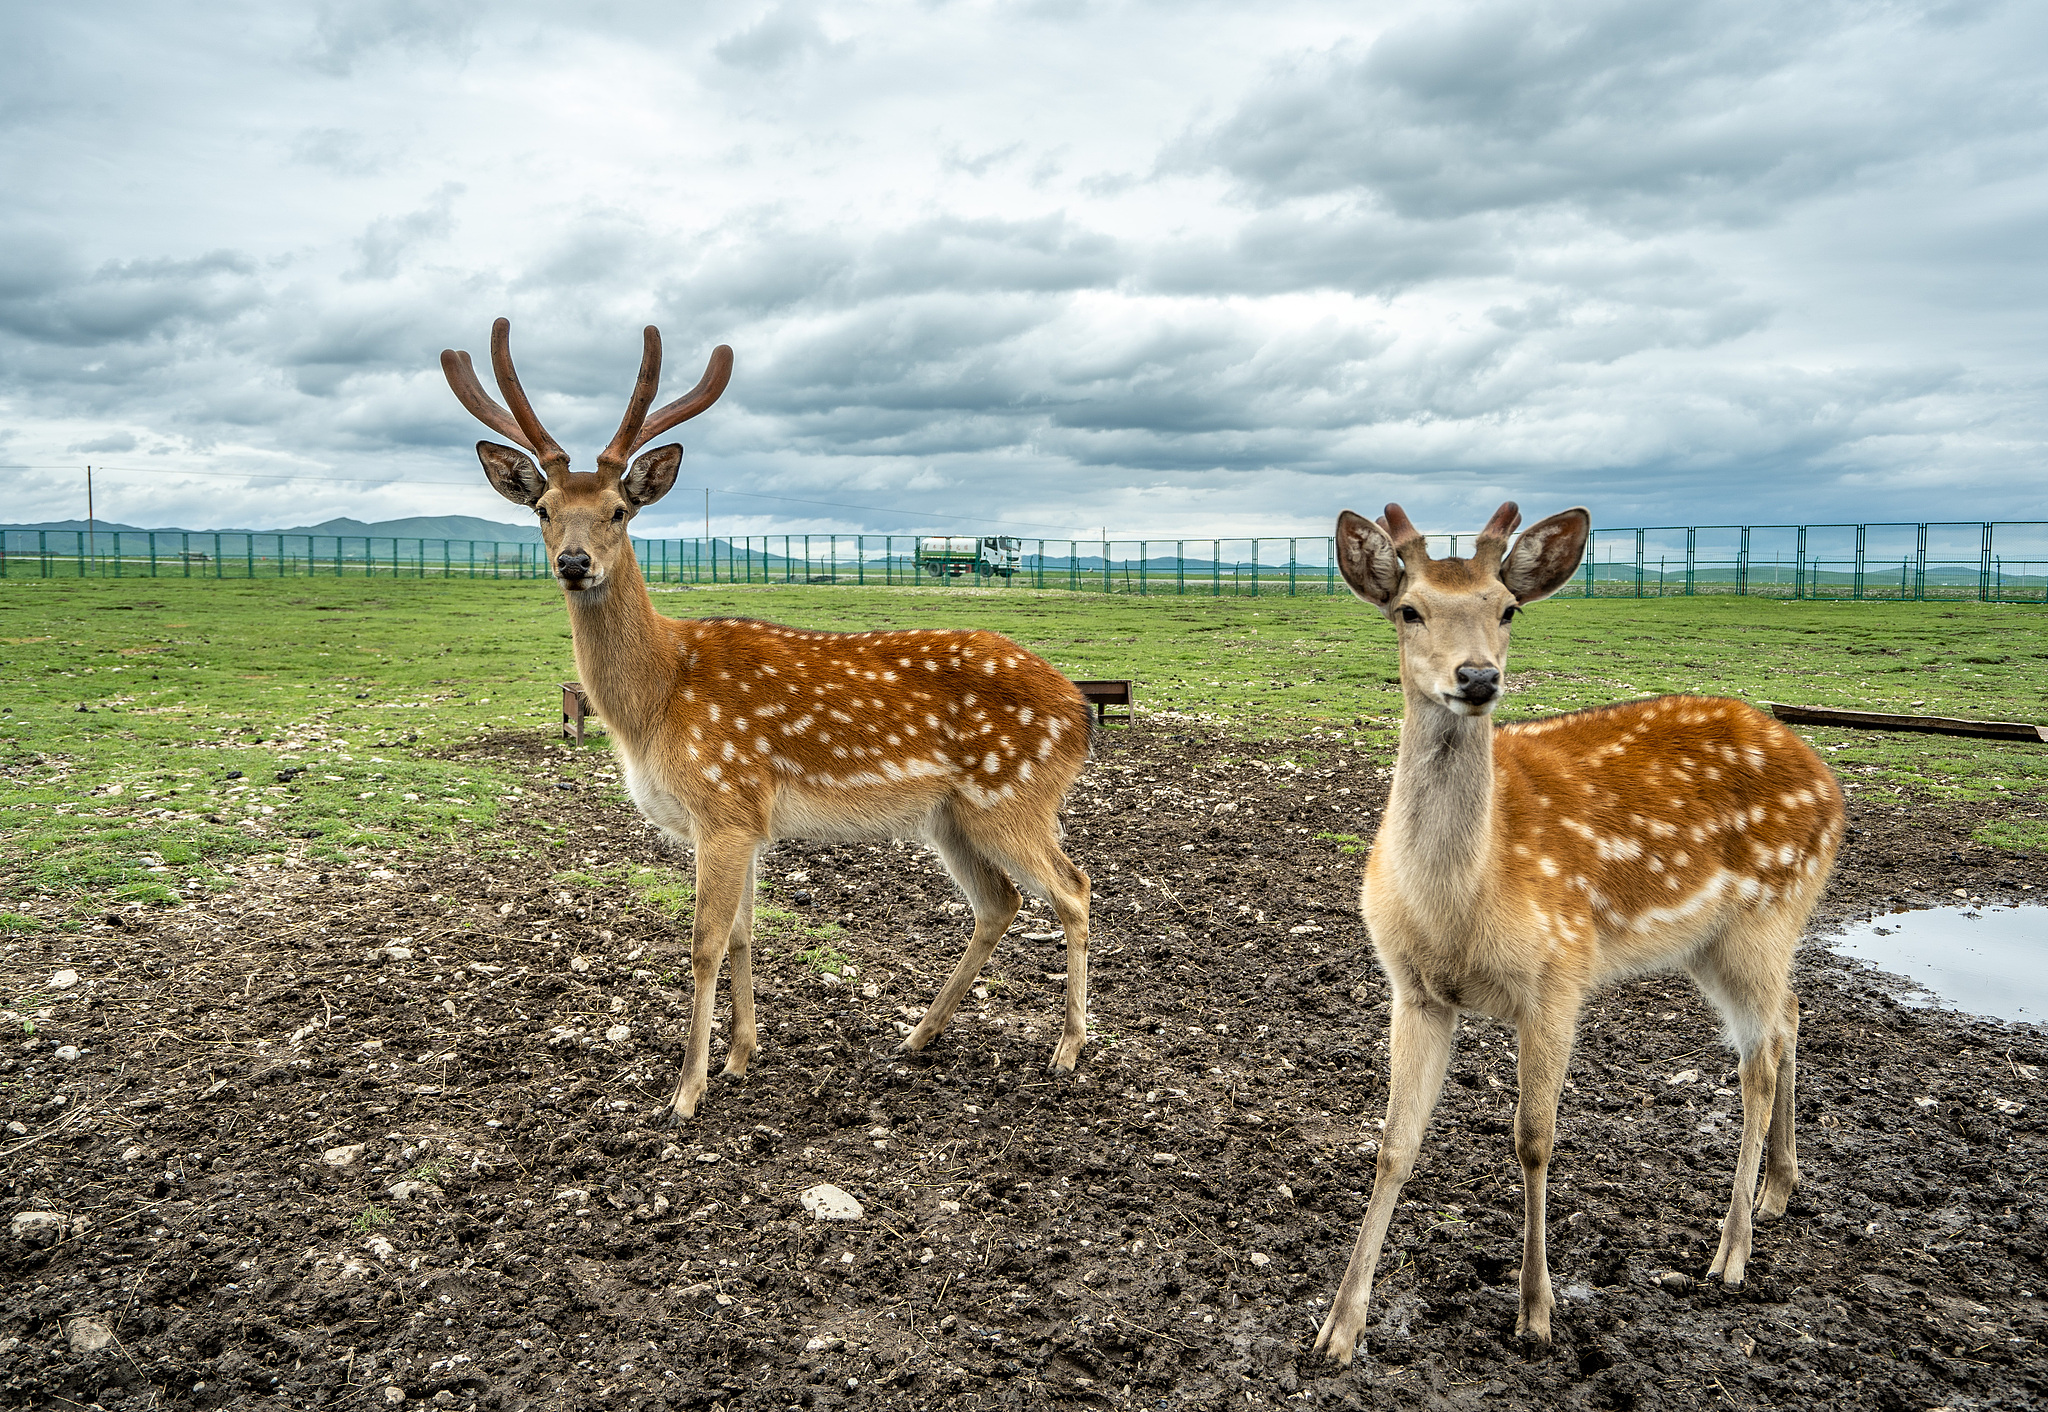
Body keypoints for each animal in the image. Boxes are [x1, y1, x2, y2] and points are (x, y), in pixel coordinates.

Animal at [441, 318, 1095, 1120]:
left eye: (620, 512)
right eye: (542, 510)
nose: (573, 562)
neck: (656, 702)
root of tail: (1080, 709)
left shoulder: (723, 802)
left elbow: (703, 942)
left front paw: (685, 1092)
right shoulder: (745, 820)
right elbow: (745, 936)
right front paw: (740, 1058)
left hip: (1014, 796)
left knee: (1073, 888)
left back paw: (1067, 1050)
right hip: (951, 816)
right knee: (1001, 901)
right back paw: (917, 1035)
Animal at [1312, 502, 1845, 1367]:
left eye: (1507, 609)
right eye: (1409, 610)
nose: (1477, 678)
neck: (1460, 905)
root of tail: (1832, 784)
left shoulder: (1559, 973)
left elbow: (1534, 1137)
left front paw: (1536, 1311)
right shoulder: (1414, 988)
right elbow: (1395, 1143)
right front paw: (1339, 1327)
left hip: (1768, 912)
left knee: (1759, 1061)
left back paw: (1730, 1252)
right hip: (1718, 944)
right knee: (1792, 1016)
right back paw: (1776, 1193)